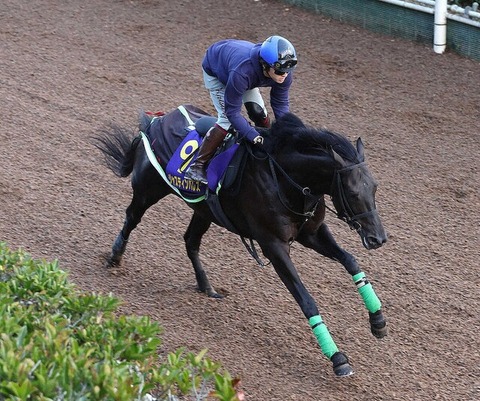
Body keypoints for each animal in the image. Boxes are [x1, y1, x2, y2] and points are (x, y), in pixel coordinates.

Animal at [93, 104, 386, 376]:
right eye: (351, 191)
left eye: (374, 187)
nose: (378, 238)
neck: (284, 177)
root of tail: (158, 119)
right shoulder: (273, 245)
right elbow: (306, 299)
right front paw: (337, 358)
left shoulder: (311, 233)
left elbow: (350, 260)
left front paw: (378, 320)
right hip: (149, 188)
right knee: (132, 217)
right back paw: (115, 256)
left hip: (203, 209)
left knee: (190, 241)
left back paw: (207, 287)